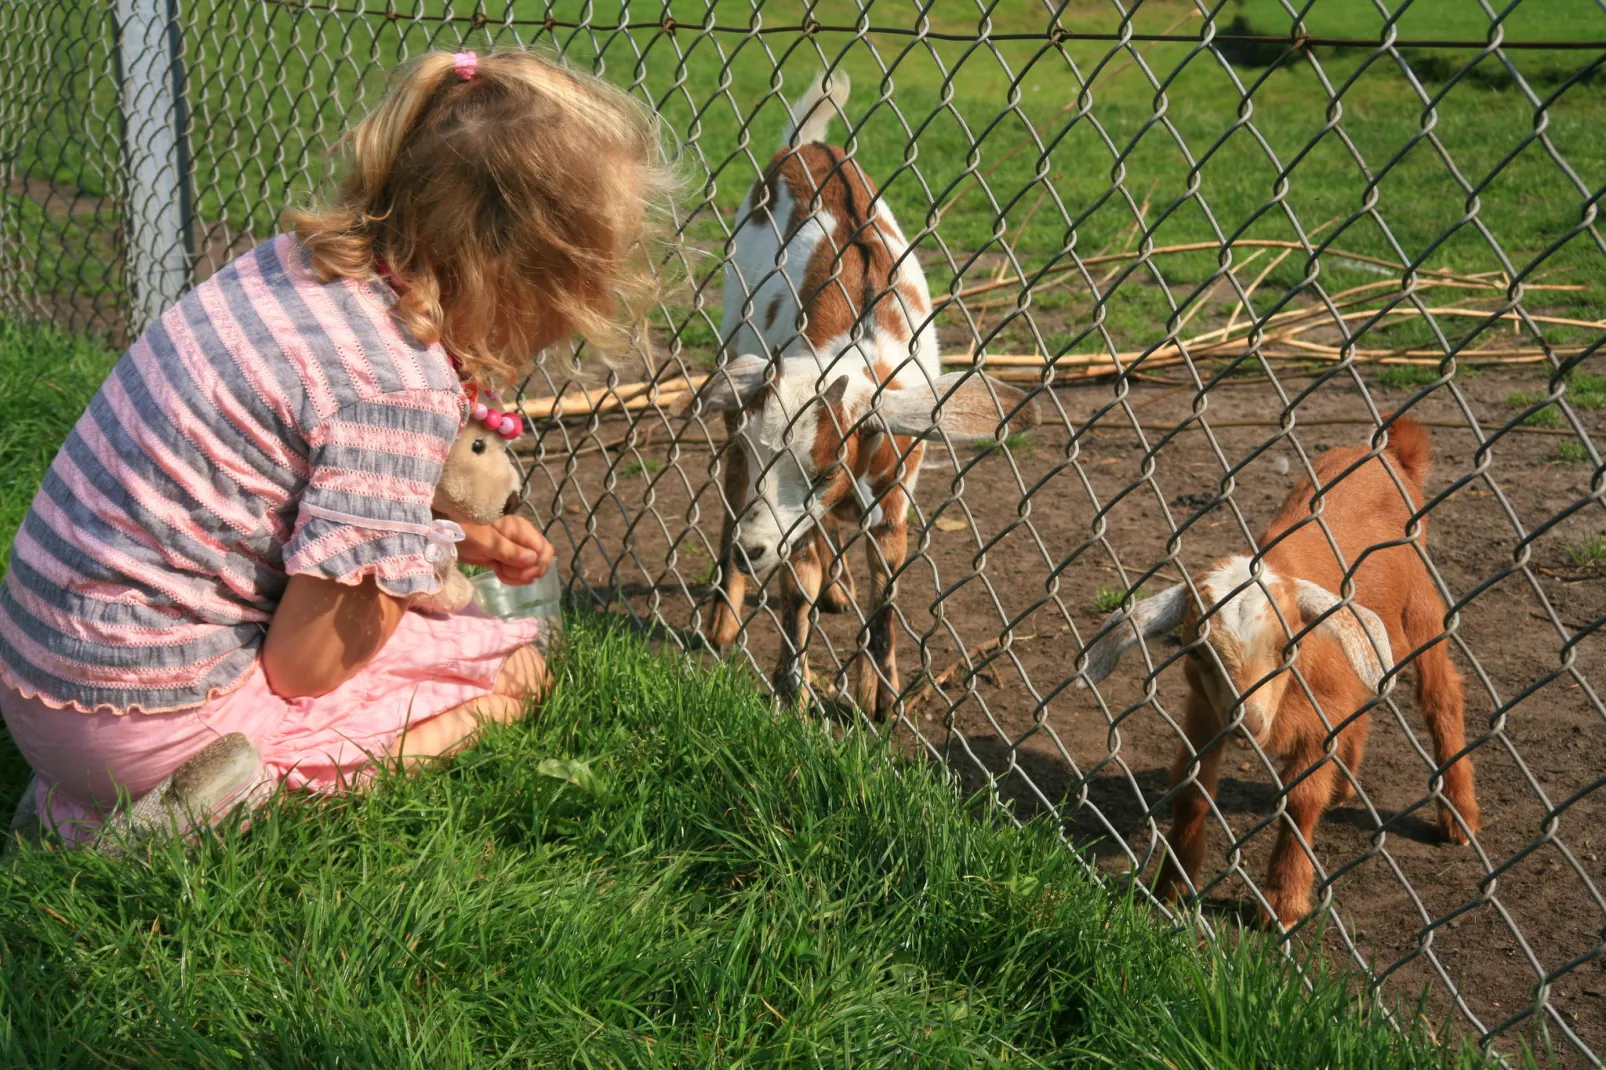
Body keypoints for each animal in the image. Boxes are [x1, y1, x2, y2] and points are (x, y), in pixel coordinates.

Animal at [697, 73, 1034, 706]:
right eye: (757, 452)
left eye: (825, 470)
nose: (753, 551)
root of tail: (807, 146)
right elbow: (795, 587)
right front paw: (792, 692)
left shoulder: (895, 495)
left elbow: (887, 585)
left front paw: (880, 695)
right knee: (732, 501)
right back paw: (723, 621)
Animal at [1079, 417, 1477, 925]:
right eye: (1196, 653)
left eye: (1290, 646)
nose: (1247, 724)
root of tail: (1391, 451)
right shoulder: (1205, 712)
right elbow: (1191, 789)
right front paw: (1170, 885)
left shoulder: (1320, 720)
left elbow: (1301, 801)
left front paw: (1283, 902)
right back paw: (1344, 785)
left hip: (1422, 604)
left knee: (1440, 694)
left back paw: (1459, 816)